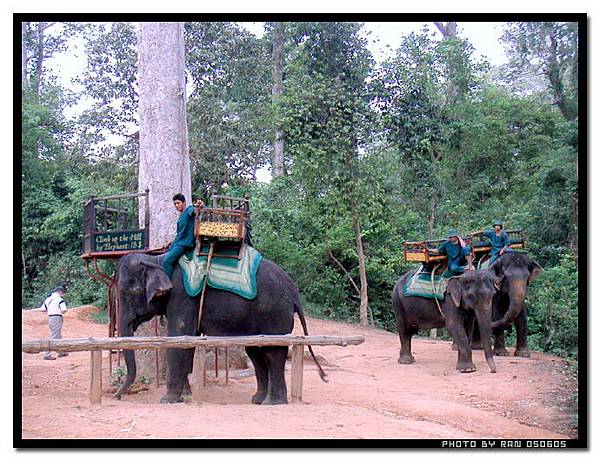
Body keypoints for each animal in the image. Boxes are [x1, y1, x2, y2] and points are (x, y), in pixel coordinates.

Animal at [114, 250, 326, 404]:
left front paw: (168, 401)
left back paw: (273, 403)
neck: (156, 259)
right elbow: (188, 341)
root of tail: (294, 290)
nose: (117, 396)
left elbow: (178, 336)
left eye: (129, 291)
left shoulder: (182, 297)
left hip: (275, 313)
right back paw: (258, 400)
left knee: (273, 352)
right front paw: (186, 396)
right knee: (256, 352)